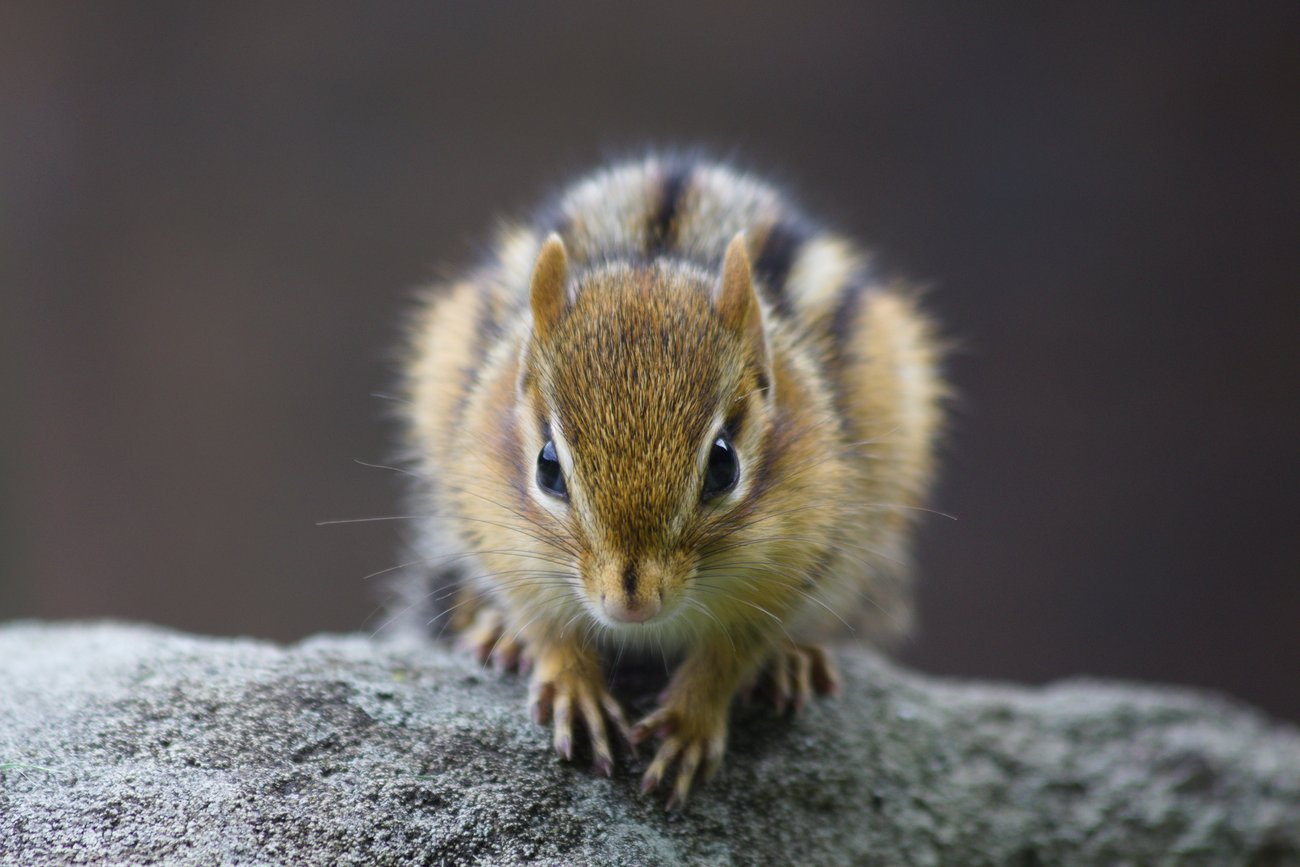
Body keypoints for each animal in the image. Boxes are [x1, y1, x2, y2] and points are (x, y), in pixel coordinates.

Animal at [393, 154, 945, 809]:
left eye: (725, 464)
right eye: (547, 466)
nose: (629, 603)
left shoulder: (800, 554)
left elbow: (735, 648)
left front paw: (690, 720)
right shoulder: (501, 538)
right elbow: (544, 622)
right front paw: (572, 683)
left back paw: (796, 661)